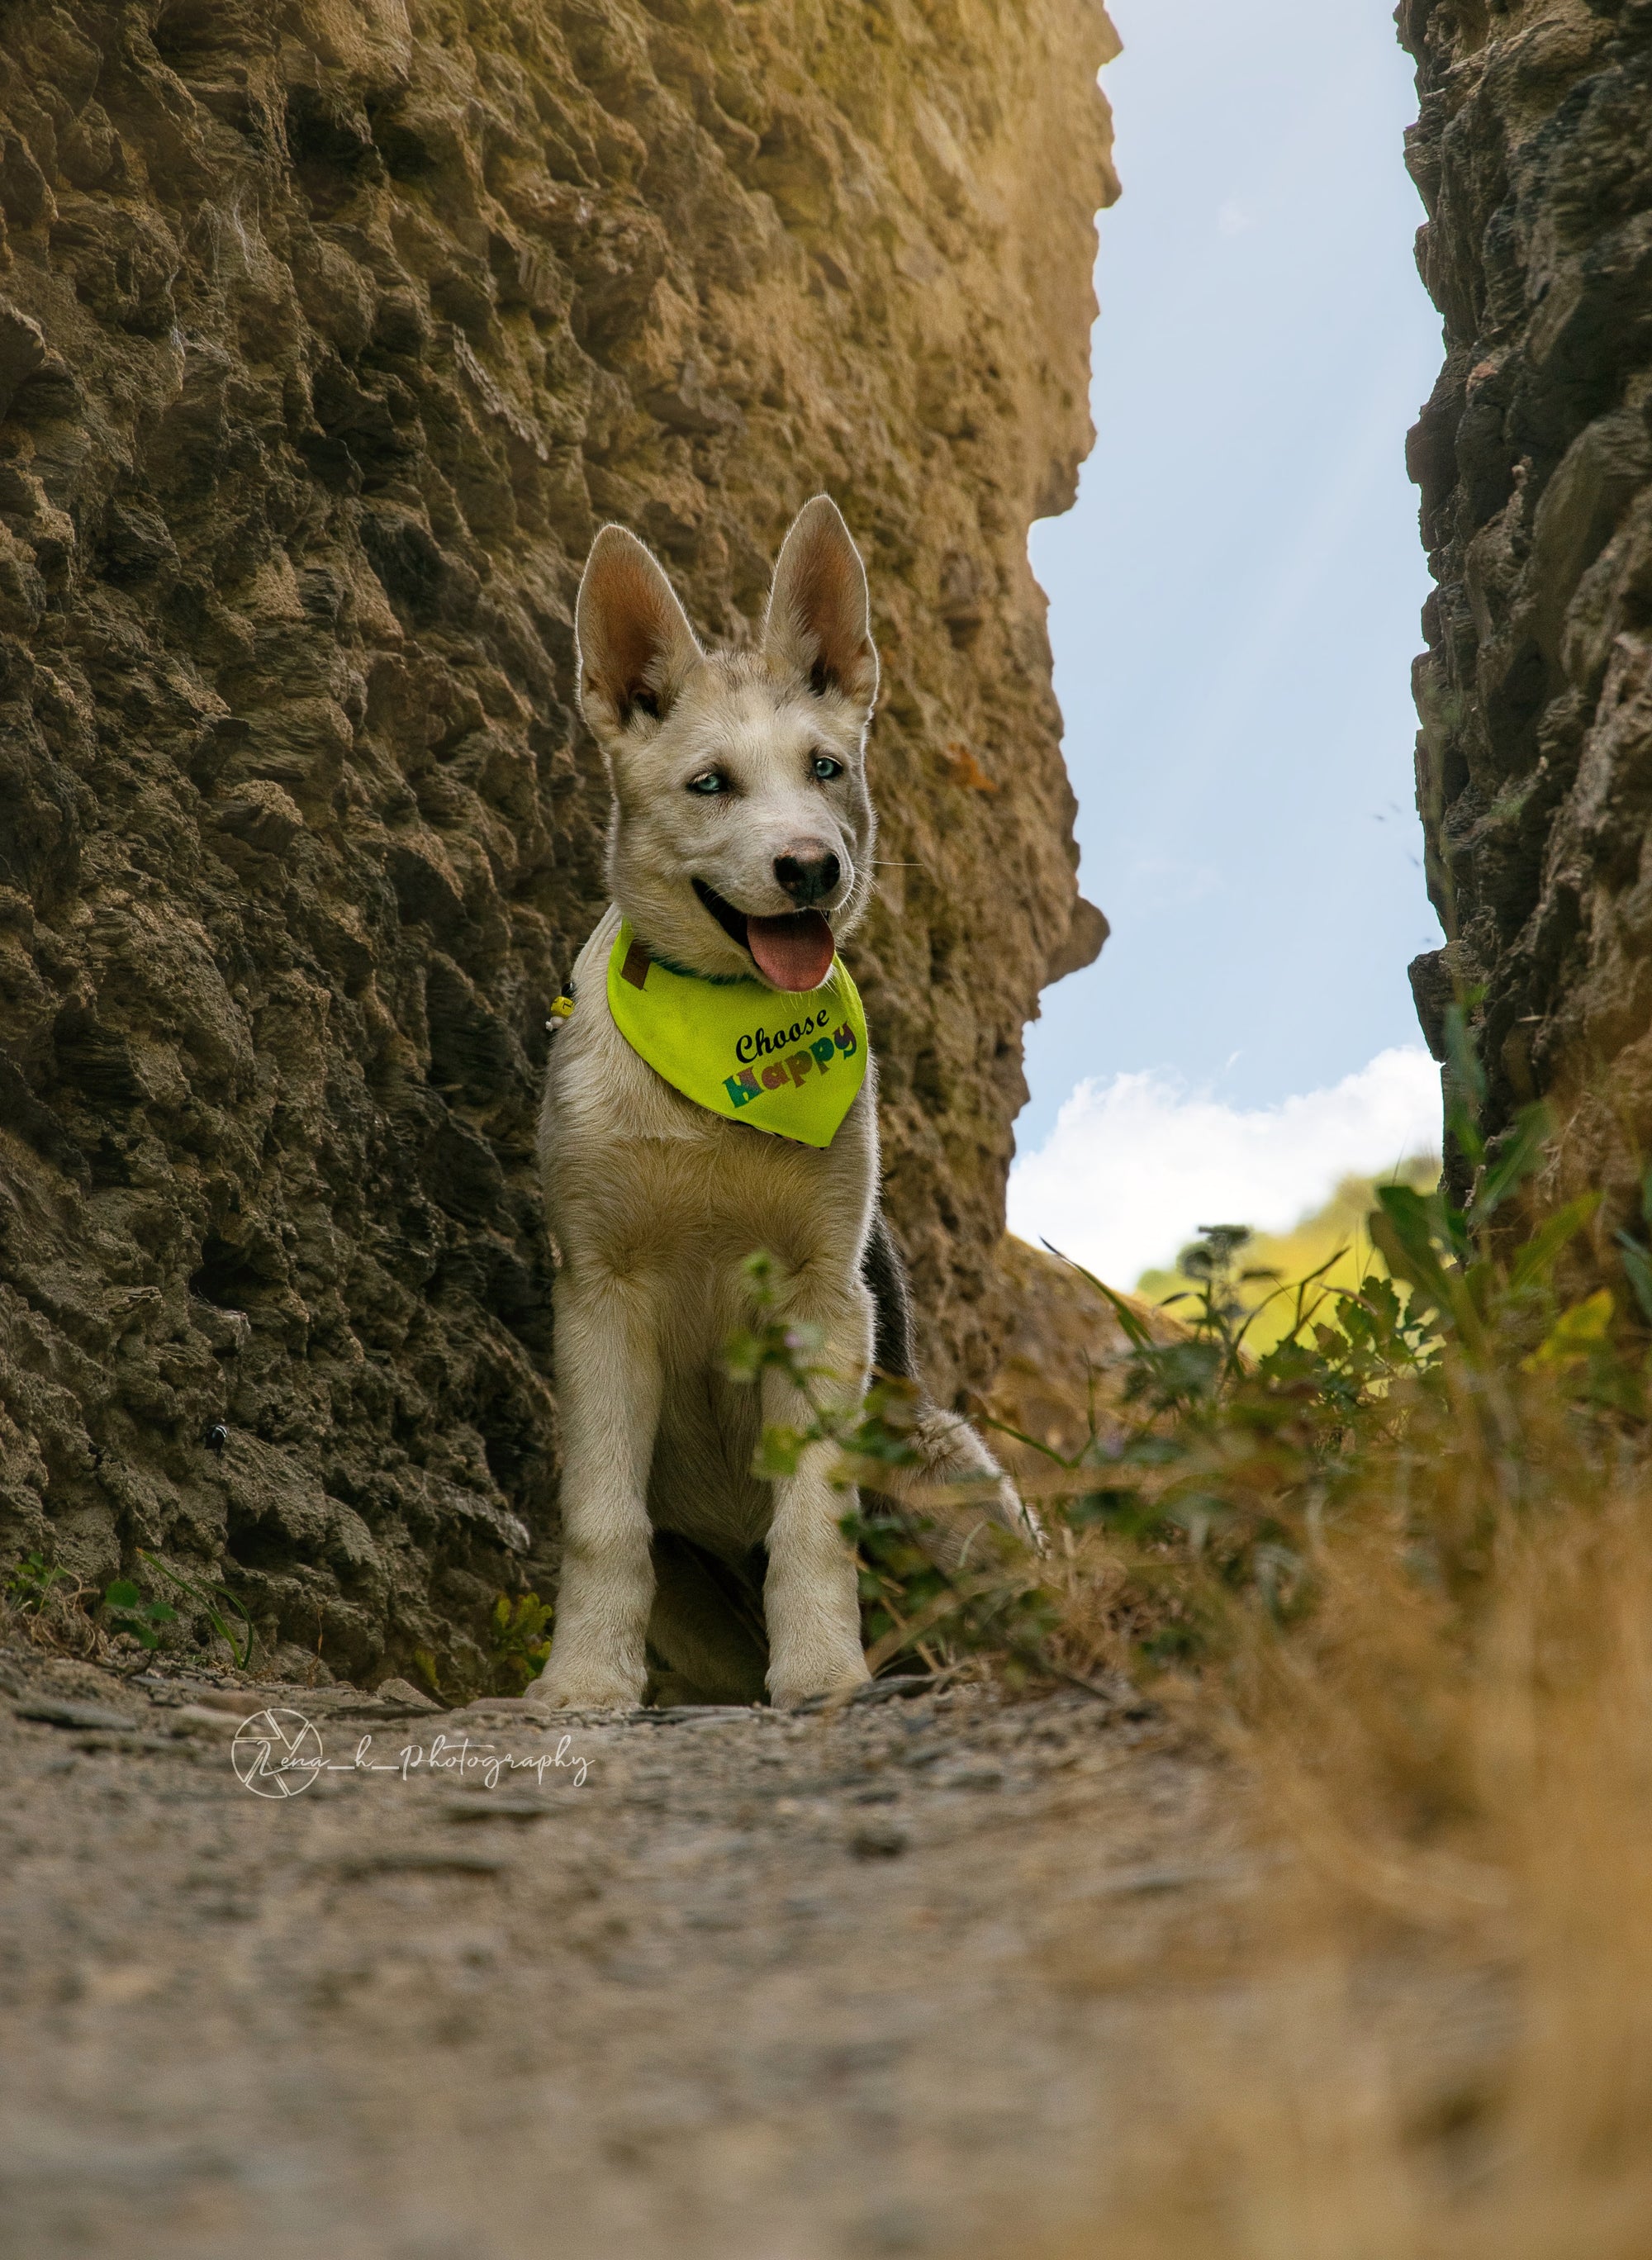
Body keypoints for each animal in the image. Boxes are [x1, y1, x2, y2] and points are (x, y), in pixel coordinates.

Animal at [535, 490, 1021, 1699]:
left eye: (827, 768)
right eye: (709, 783)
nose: (811, 869)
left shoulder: (824, 1299)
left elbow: (811, 1522)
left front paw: (821, 1675)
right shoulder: (600, 1299)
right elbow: (602, 1524)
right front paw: (583, 1683)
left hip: (944, 1463)